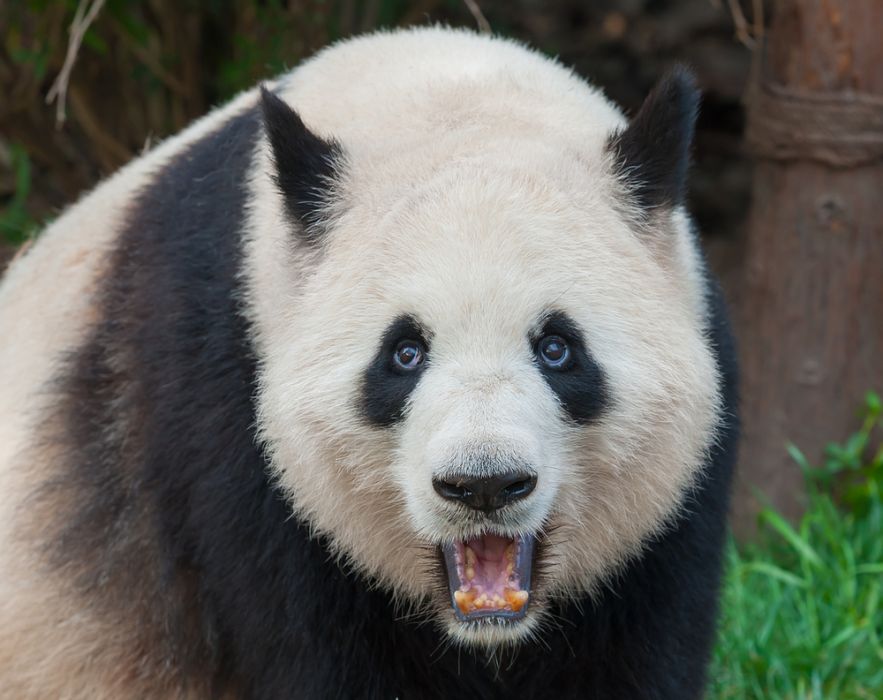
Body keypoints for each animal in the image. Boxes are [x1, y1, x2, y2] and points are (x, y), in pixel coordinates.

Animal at [0, 27, 737, 699]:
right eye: (404, 354)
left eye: (556, 348)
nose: (483, 484)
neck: (448, 93)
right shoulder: (223, 420)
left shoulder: (675, 509)